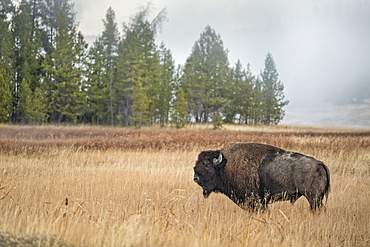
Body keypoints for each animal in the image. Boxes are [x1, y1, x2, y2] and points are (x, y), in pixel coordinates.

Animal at [194, 143, 330, 210]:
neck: (225, 166)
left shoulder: (255, 201)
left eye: (206, 165)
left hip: (313, 198)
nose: (195, 178)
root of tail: (319, 163)